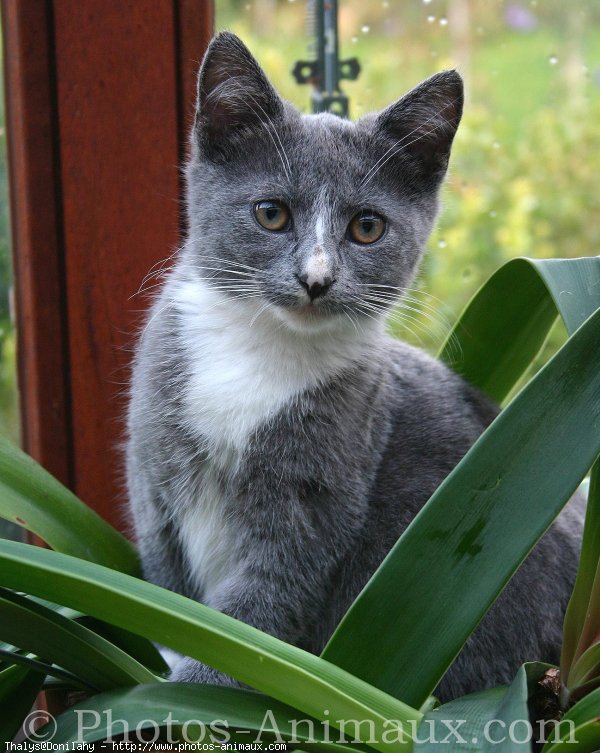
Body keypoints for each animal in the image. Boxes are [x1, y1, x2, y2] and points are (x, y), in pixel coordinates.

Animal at [126, 32, 580, 696]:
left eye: (367, 227)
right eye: (270, 213)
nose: (316, 279)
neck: (264, 350)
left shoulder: (322, 484)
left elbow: (261, 610)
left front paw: (193, 688)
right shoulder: (153, 468)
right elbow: (167, 587)